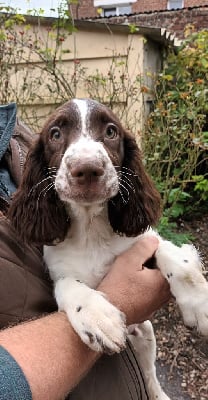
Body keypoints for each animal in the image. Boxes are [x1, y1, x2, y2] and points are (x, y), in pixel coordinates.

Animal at [8, 97, 208, 400]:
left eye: (111, 131)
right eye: (55, 134)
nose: (88, 169)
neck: (92, 229)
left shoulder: (145, 242)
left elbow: (171, 254)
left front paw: (200, 303)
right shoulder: (57, 270)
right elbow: (67, 285)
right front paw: (97, 317)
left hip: (146, 334)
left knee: (150, 373)